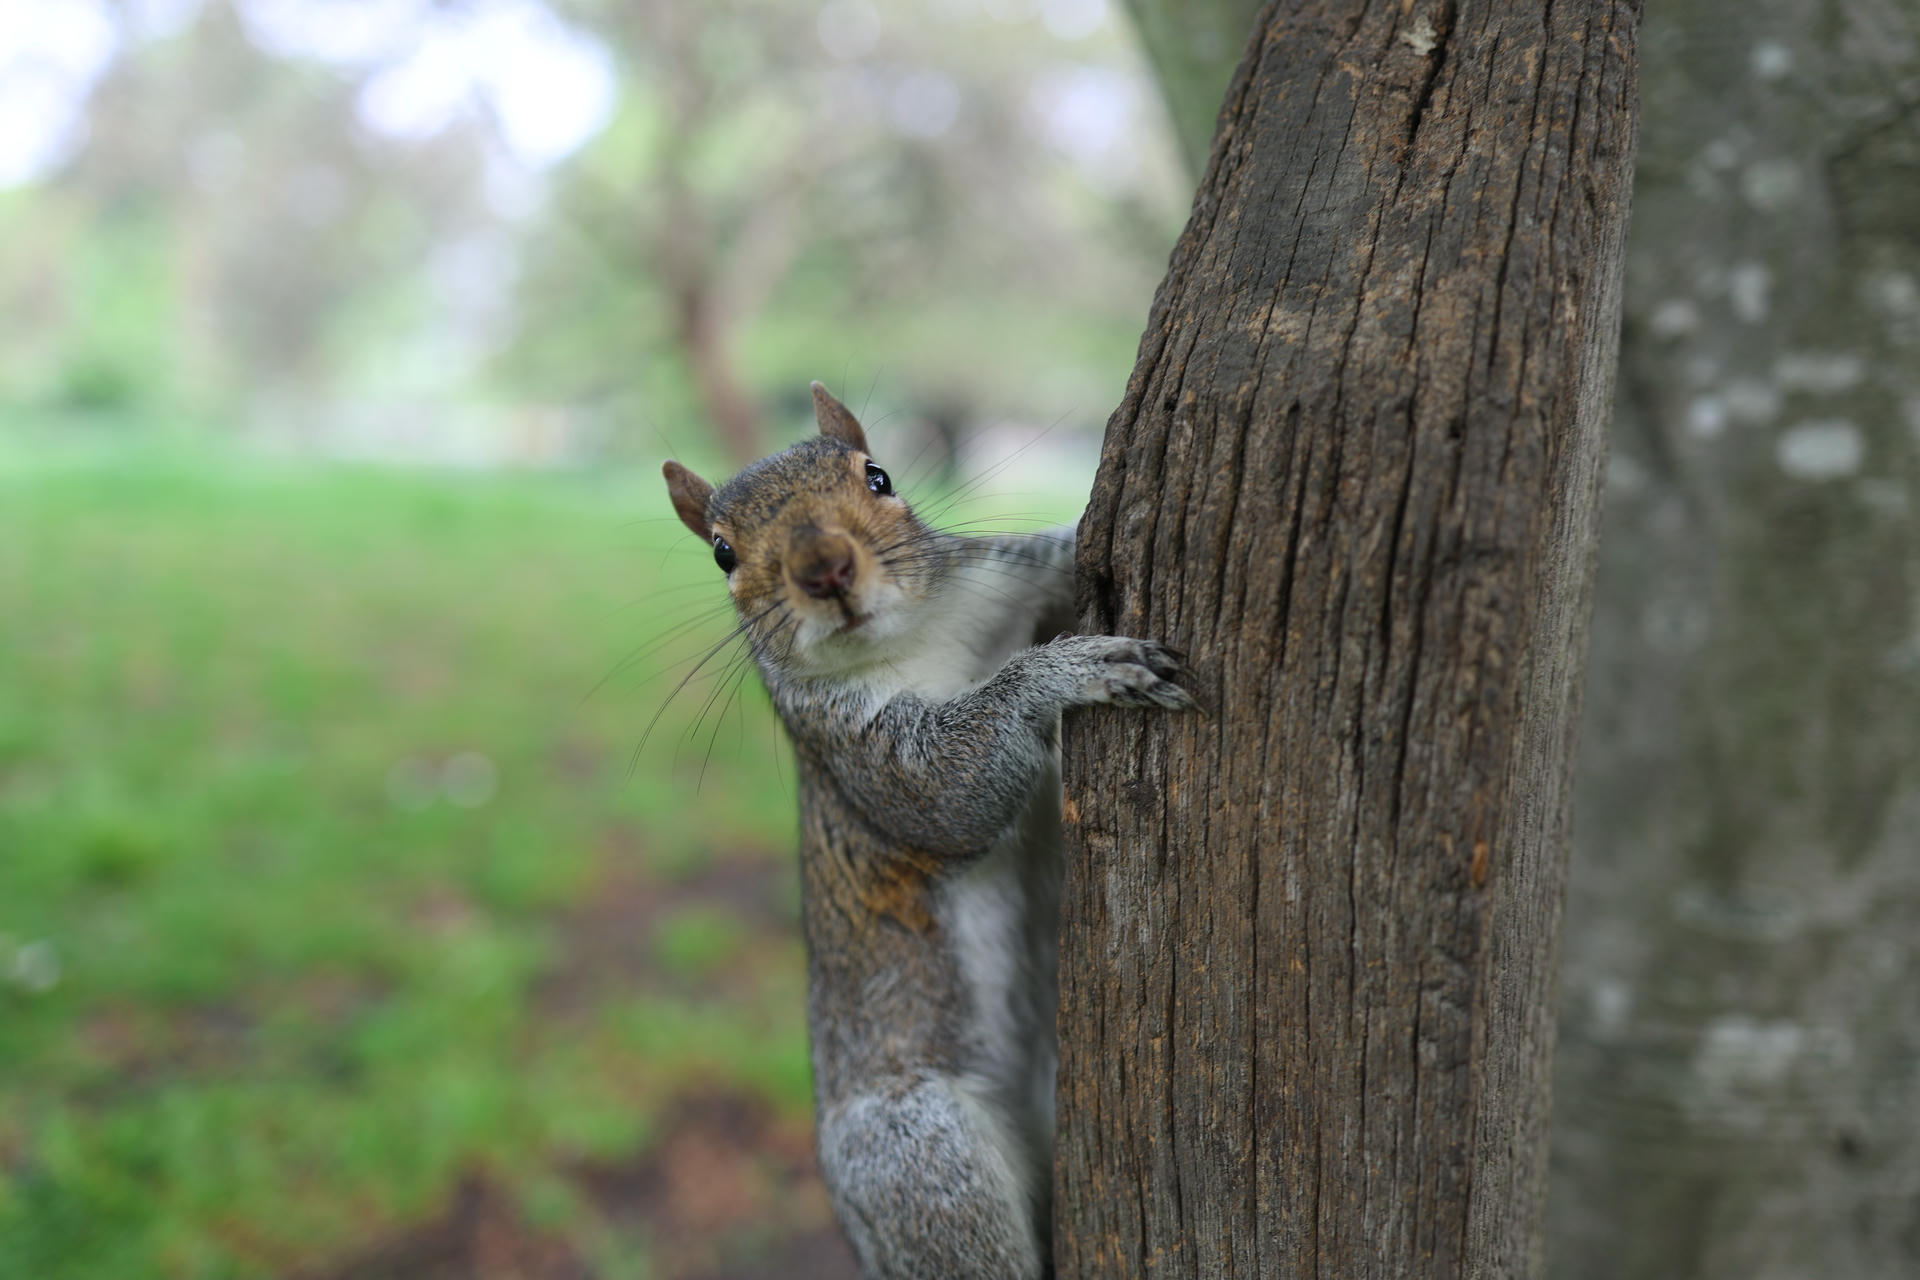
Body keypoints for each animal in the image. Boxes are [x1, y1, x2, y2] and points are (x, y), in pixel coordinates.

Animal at [661, 383, 1194, 1279]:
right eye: (723, 554)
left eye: (877, 476)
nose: (825, 569)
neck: (918, 638)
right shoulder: (855, 748)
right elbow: (947, 793)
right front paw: (1062, 673)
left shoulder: (1005, 579)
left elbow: (1054, 556)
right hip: (919, 1158)